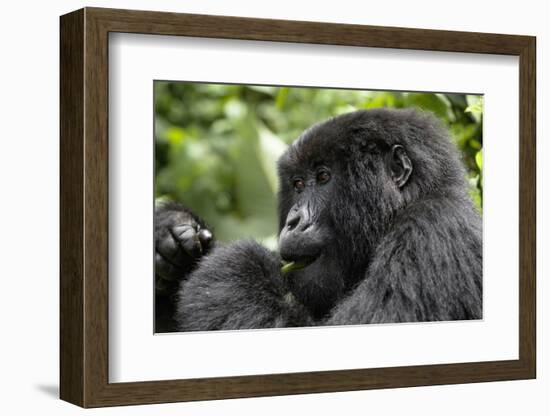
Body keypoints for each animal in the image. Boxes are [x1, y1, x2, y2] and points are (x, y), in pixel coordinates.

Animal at [154, 107, 484, 332]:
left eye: (324, 177)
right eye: (298, 184)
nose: (293, 222)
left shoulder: (431, 231)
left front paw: (236, 265)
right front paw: (169, 232)